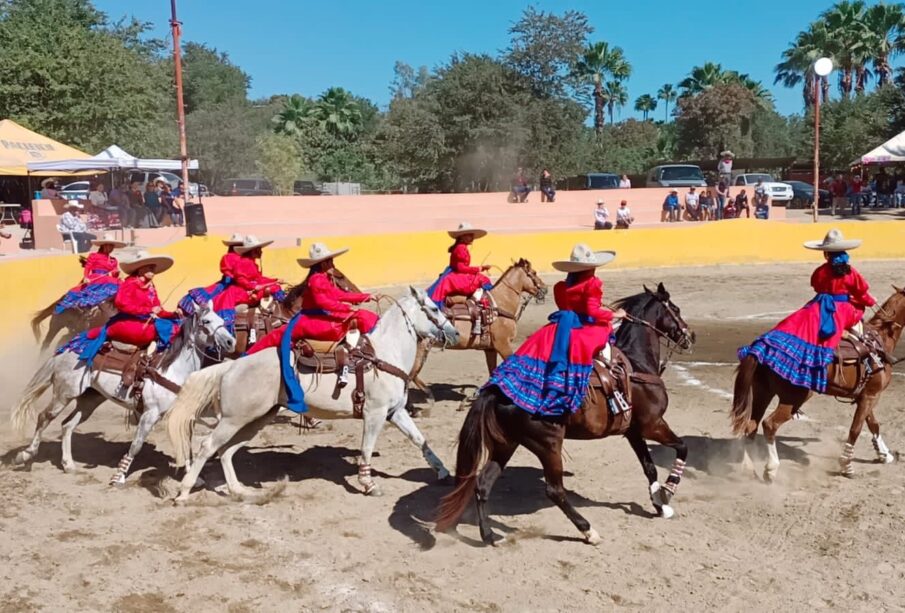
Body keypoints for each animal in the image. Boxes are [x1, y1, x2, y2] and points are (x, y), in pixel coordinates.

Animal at [10, 298, 235, 486]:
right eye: (206, 321)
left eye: (220, 319)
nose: (231, 342)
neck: (171, 370)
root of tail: (67, 349)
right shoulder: (149, 414)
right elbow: (136, 445)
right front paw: (119, 477)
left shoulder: (183, 415)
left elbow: (185, 445)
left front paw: (194, 479)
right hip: (64, 394)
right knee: (44, 417)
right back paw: (25, 455)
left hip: (89, 401)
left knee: (67, 425)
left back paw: (69, 465)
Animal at [163, 286, 460, 502]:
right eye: (434, 308)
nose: (455, 332)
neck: (384, 355)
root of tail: (231, 366)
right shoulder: (374, 414)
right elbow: (366, 448)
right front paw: (368, 483)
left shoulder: (394, 412)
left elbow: (420, 439)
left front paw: (444, 471)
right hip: (234, 419)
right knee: (208, 446)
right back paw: (184, 492)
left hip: (255, 419)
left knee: (226, 451)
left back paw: (239, 491)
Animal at [408, 258, 544, 406]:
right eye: (534, 273)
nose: (545, 289)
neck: (500, 304)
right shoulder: (503, 345)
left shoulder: (491, 349)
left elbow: (493, 371)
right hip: (421, 347)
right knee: (410, 374)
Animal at [434, 282, 696, 544]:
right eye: (675, 309)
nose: (690, 336)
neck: (636, 365)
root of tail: (497, 391)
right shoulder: (653, 424)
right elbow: (683, 447)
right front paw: (668, 491)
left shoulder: (634, 430)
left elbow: (649, 467)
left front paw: (660, 504)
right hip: (549, 445)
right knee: (554, 490)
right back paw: (588, 531)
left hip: (506, 444)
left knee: (483, 484)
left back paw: (488, 535)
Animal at [728, 284, 904, 480]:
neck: (881, 339)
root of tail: (759, 349)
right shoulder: (871, 395)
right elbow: (856, 429)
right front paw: (847, 466)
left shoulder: (864, 396)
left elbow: (873, 423)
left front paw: (885, 455)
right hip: (793, 399)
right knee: (770, 424)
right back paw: (771, 469)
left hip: (763, 393)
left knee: (751, 426)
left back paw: (748, 468)